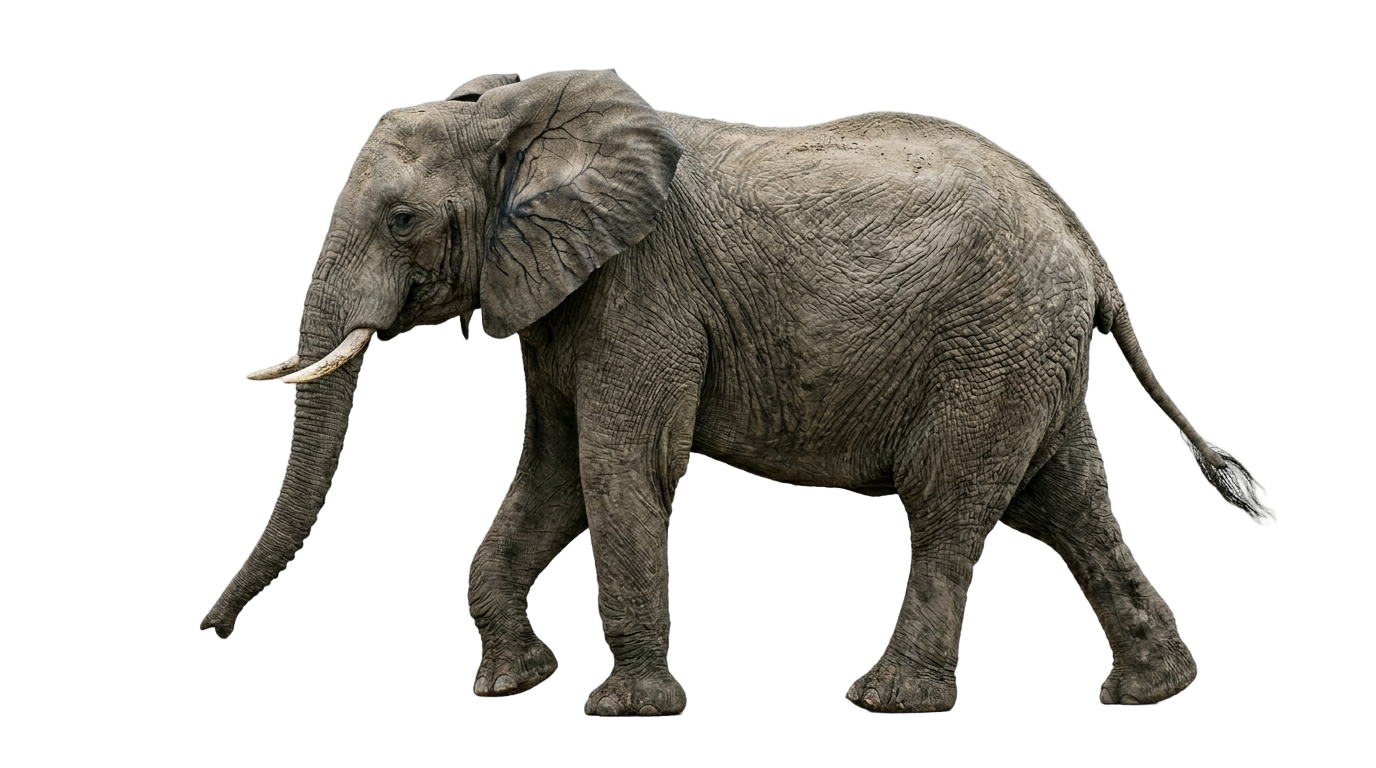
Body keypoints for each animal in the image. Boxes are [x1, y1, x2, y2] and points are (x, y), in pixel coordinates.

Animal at [201, 69, 1267, 717]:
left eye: (401, 218)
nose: (212, 635)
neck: (521, 113)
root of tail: (1078, 232)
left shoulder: (643, 293)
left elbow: (620, 470)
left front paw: (628, 715)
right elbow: (550, 481)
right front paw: (508, 690)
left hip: (992, 352)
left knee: (954, 506)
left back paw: (890, 705)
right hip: (1031, 359)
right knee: (1065, 501)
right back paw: (1154, 694)